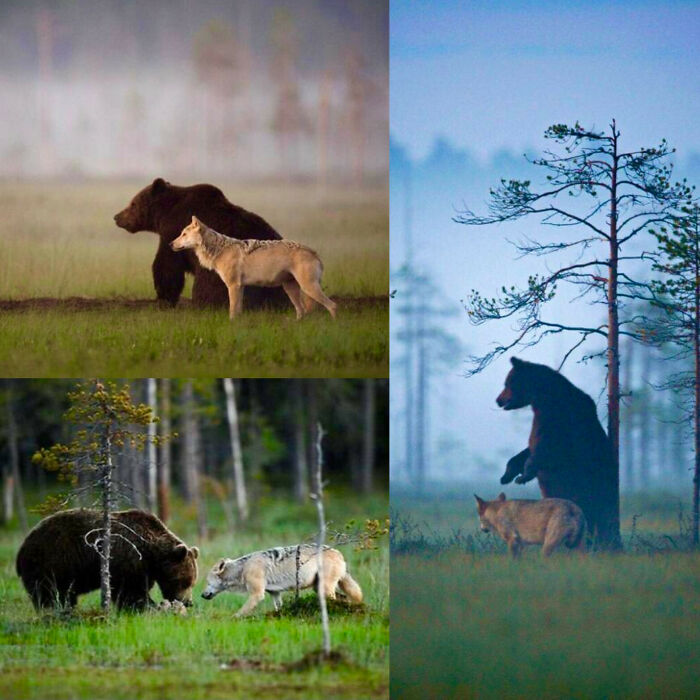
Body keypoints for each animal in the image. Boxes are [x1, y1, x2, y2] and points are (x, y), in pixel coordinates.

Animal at [16, 508, 199, 611]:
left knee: (65, 595)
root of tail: (21, 549)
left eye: (192, 582)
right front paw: (147, 606)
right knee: (48, 593)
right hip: (51, 561)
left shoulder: (144, 567)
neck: (151, 553)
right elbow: (130, 591)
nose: (188, 602)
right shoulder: (128, 559)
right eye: (184, 581)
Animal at [114, 178, 287, 308]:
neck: (164, 214)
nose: (117, 217)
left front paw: (164, 298)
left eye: (133, 203)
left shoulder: (173, 231)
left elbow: (167, 266)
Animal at [170, 216, 337, 320]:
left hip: (308, 288)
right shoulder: (240, 287)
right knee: (302, 311)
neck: (219, 249)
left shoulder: (233, 286)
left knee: (333, 306)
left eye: (183, 234)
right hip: (291, 289)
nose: (170, 244)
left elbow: (232, 311)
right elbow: (238, 310)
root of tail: (314, 252)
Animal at [200, 544, 363, 617]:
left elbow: (241, 612)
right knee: (344, 598)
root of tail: (339, 553)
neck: (243, 568)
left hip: (324, 588)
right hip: (319, 588)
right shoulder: (275, 594)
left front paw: (232, 619)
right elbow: (278, 608)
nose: (202, 595)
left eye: (208, 582)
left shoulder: (257, 594)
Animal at [496, 357, 620, 550]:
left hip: (589, 490)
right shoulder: (542, 420)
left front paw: (523, 475)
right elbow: (528, 449)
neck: (544, 399)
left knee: (593, 514)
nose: (498, 400)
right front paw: (507, 475)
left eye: (507, 383)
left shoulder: (561, 421)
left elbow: (547, 450)